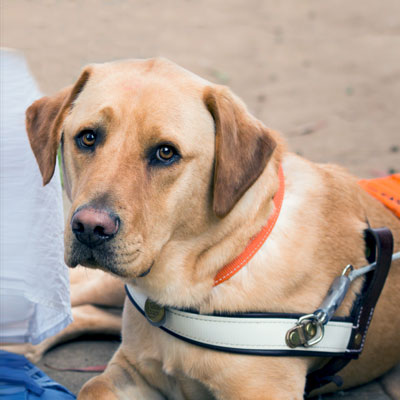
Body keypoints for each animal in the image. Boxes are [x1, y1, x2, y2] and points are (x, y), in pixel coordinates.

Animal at [25, 59, 400, 400]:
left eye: (166, 152)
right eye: (88, 138)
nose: (90, 227)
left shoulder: (261, 392)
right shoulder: (129, 371)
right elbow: (91, 386)